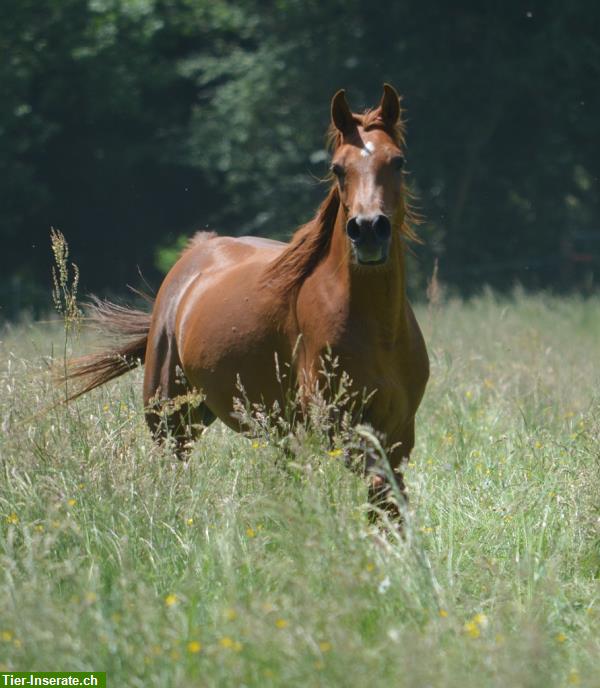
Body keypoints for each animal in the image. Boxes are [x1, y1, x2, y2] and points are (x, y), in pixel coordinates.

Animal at [68, 84, 428, 516]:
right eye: (338, 168)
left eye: (398, 161)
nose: (369, 229)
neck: (378, 329)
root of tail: (196, 253)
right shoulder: (340, 425)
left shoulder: (398, 433)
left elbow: (389, 504)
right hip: (170, 415)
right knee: (173, 466)